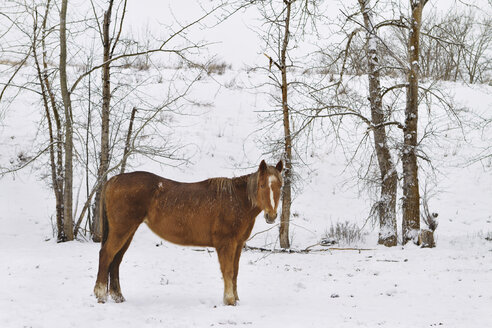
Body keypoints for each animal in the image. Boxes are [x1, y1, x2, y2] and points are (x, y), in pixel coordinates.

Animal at [93, 159, 282, 304]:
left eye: (280, 186)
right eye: (262, 185)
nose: (271, 216)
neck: (235, 200)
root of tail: (113, 180)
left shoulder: (238, 244)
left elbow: (235, 272)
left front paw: (235, 298)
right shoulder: (226, 244)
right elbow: (228, 271)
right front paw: (229, 300)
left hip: (129, 231)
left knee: (116, 260)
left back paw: (118, 297)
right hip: (122, 229)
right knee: (106, 254)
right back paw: (100, 295)